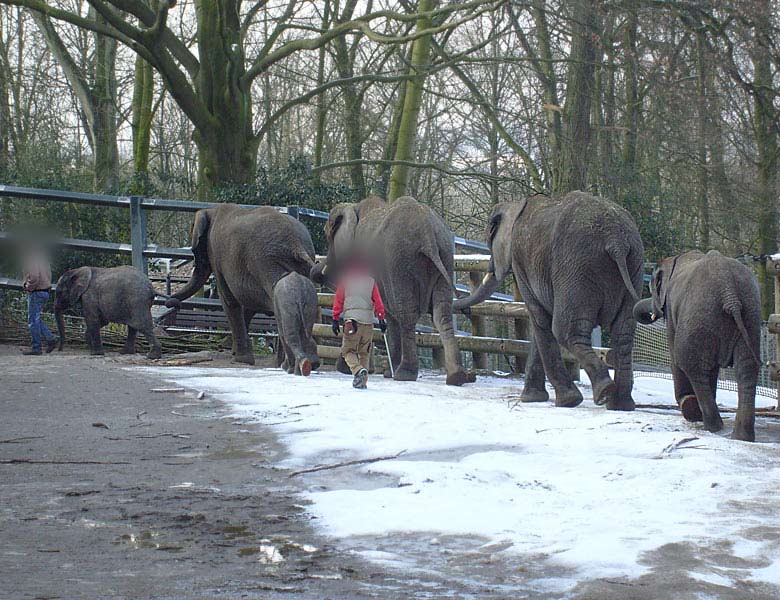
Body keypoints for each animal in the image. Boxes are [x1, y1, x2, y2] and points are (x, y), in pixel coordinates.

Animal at [166, 205, 316, 366]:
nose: (172, 303)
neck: (211, 210)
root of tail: (296, 243)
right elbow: (250, 307)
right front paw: (236, 353)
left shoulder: (216, 256)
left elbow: (229, 300)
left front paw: (241, 359)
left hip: (267, 263)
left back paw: (286, 364)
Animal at [312, 195, 476, 386]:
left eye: (327, 234)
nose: (318, 266)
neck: (354, 207)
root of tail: (427, 233)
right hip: (445, 258)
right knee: (441, 314)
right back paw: (456, 377)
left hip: (399, 262)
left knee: (406, 313)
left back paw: (404, 374)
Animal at [454, 195, 644, 410]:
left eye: (488, 241)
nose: (465, 310)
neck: (515, 205)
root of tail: (616, 241)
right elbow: (539, 327)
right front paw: (533, 398)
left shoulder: (521, 264)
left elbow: (540, 320)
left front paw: (566, 401)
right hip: (634, 265)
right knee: (624, 333)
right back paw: (620, 404)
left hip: (576, 270)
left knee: (565, 331)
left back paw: (604, 392)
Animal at [632, 248, 760, 440]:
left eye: (652, 289)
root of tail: (729, 292)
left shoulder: (671, 309)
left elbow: (674, 355)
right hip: (749, 315)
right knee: (747, 368)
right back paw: (741, 436)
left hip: (698, 316)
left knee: (690, 364)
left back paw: (706, 422)